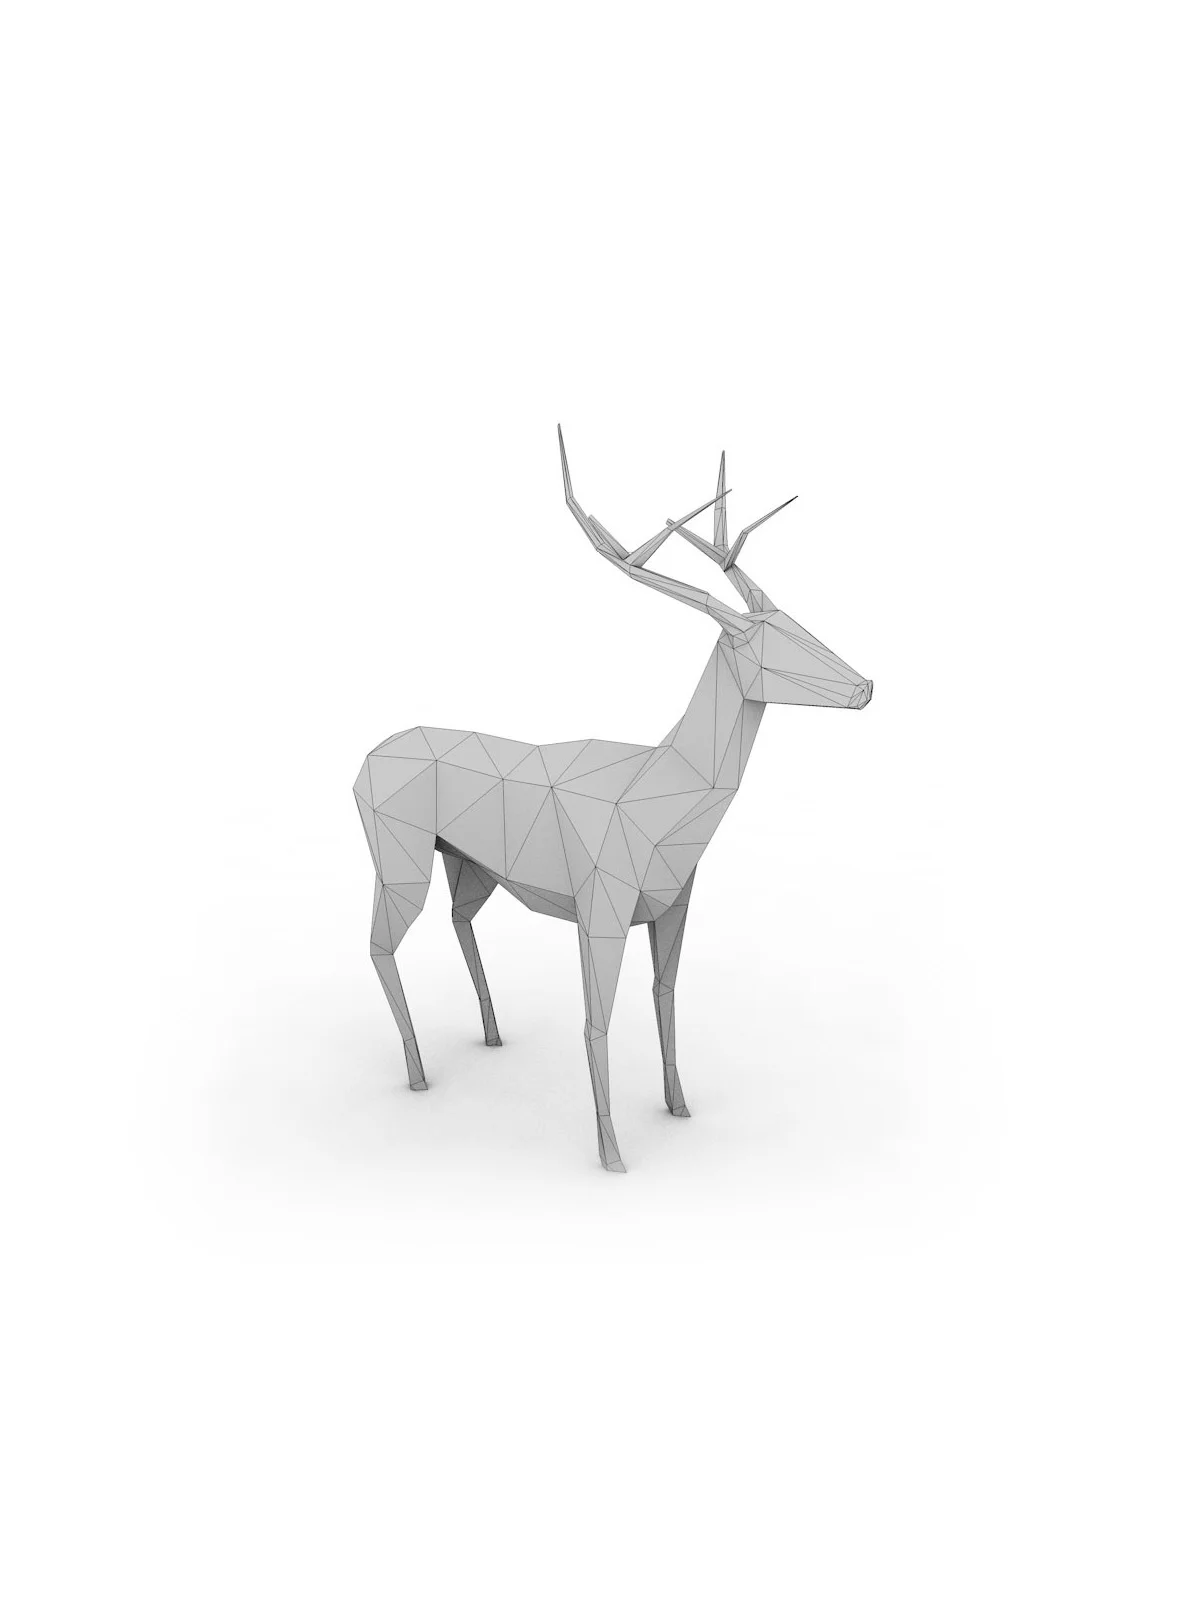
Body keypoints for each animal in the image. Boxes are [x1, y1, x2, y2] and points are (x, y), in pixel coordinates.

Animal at [353, 428, 872, 1172]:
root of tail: (361, 763)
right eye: (764, 643)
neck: (662, 795)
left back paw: (492, 1035)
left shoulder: (674, 903)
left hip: (466, 864)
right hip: (397, 859)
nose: (865, 685)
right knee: (377, 945)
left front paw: (680, 1109)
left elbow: (666, 996)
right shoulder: (599, 907)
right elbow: (596, 1021)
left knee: (458, 919)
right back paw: (420, 1076)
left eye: (802, 623)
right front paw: (613, 1155)